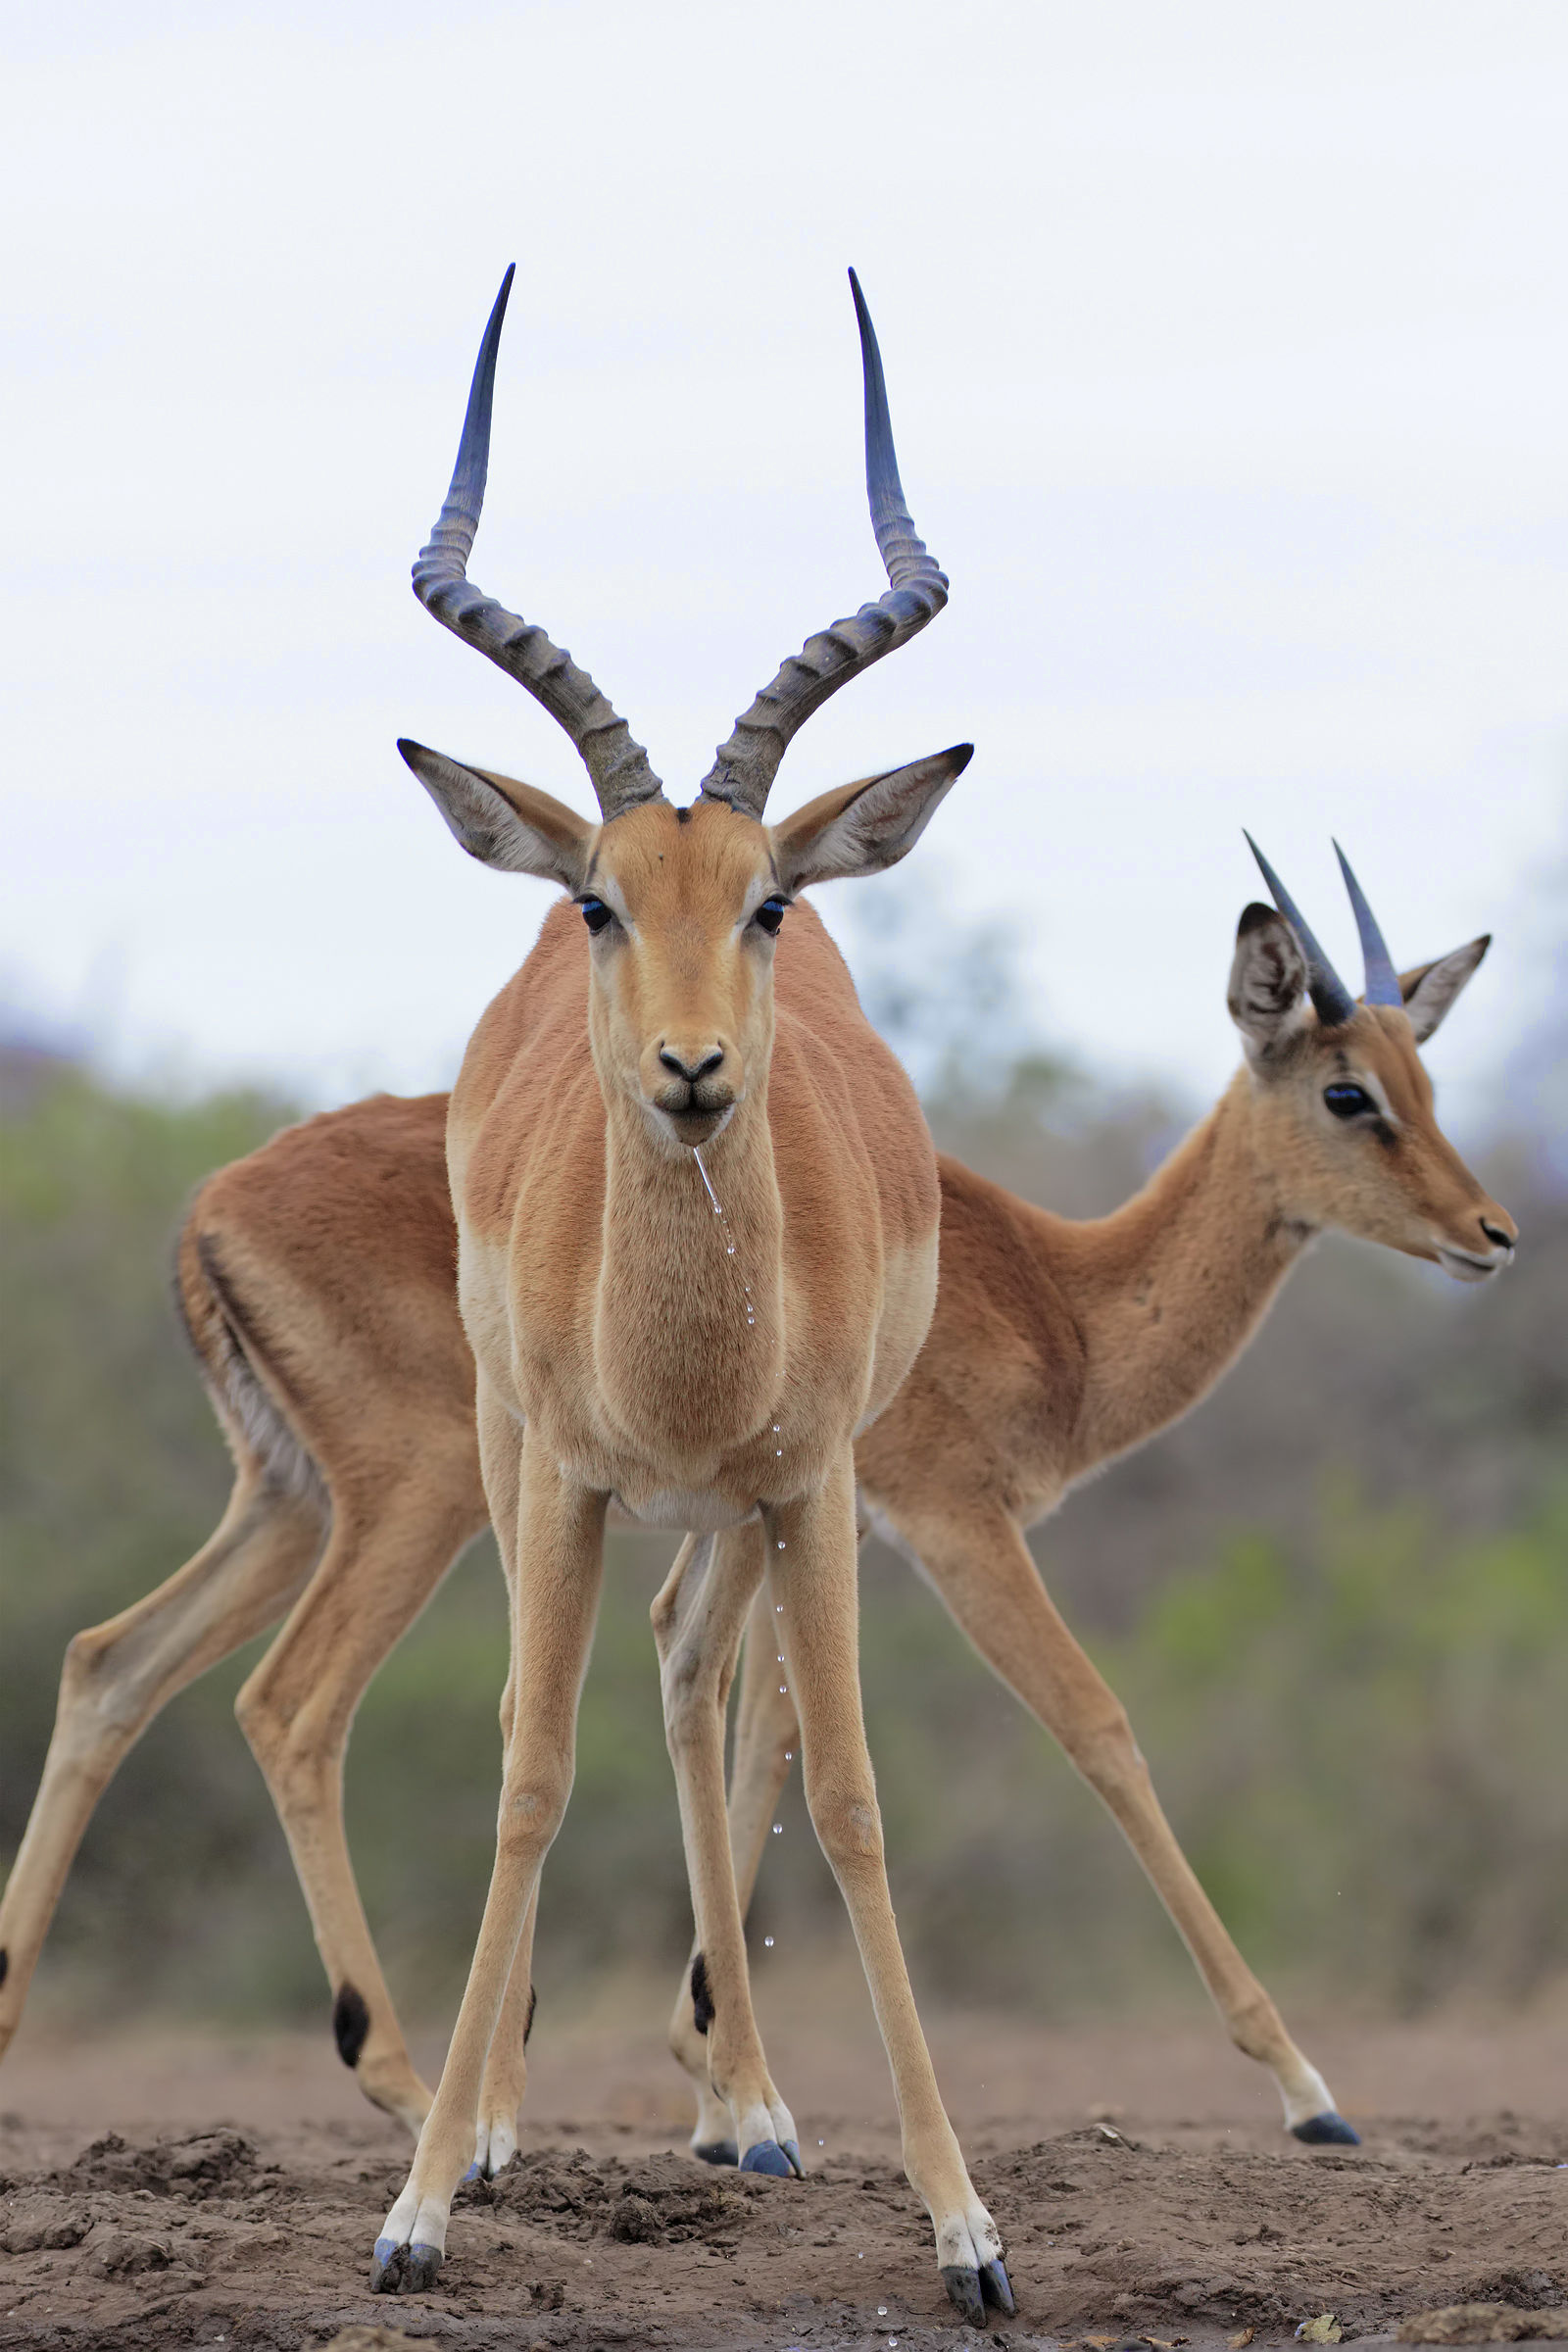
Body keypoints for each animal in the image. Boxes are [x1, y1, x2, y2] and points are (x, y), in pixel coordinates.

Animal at [0, 845, 1514, 2215]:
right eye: (1347, 1091)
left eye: (1428, 1080)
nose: (1492, 1233)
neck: (1066, 1307)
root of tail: (208, 1206)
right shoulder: (942, 1521)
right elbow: (1091, 1724)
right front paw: (1310, 2093)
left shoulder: (796, 1518)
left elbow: (747, 1721)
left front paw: (725, 2089)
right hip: (422, 1492)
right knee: (295, 1707)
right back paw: (425, 2094)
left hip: (289, 1503)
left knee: (111, 1663)